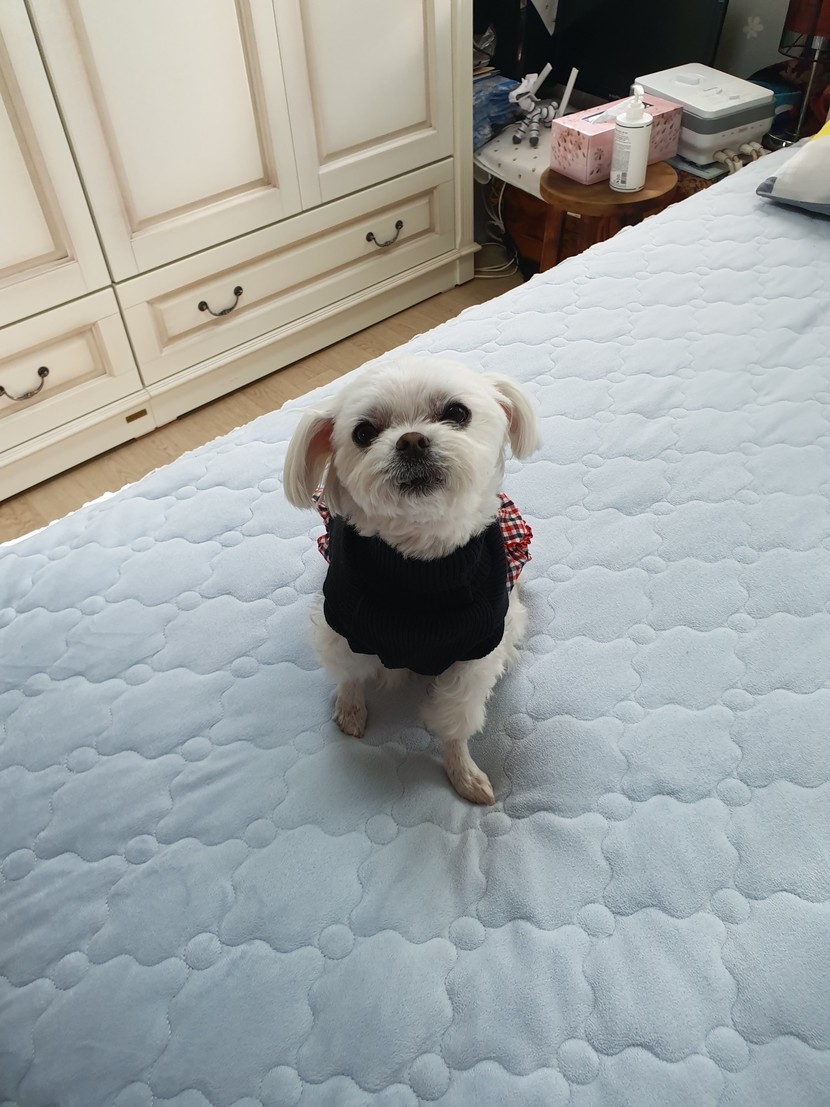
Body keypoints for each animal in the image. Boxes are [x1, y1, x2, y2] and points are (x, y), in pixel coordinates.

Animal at [283, 356, 540, 803]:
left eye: (457, 412)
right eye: (363, 432)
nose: (412, 441)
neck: (421, 563)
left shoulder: (477, 650)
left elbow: (455, 724)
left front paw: (462, 771)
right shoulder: (341, 625)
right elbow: (349, 674)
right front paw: (350, 708)